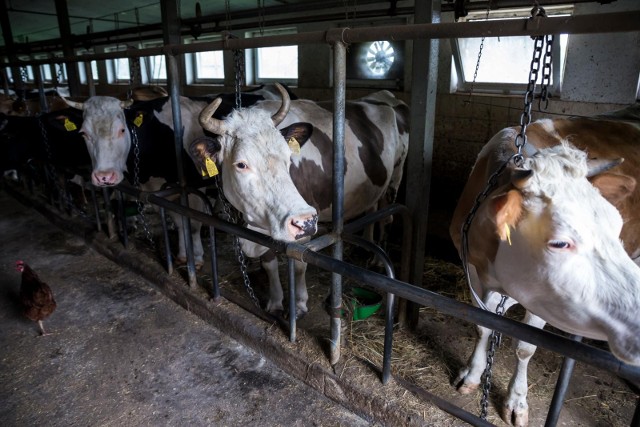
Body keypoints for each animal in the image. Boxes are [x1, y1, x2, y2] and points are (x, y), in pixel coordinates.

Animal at [192, 83, 410, 320]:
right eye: (241, 164)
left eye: (289, 156)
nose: (305, 220)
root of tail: (386, 96)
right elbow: (269, 264)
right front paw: (275, 302)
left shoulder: (302, 230)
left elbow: (299, 265)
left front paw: (299, 305)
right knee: (371, 210)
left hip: (396, 176)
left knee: (387, 219)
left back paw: (379, 261)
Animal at [448, 104, 640, 427]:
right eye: (560, 243)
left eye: (616, 225)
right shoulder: (472, 273)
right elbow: (482, 328)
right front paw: (472, 375)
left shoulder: (544, 300)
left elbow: (525, 347)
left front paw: (516, 401)